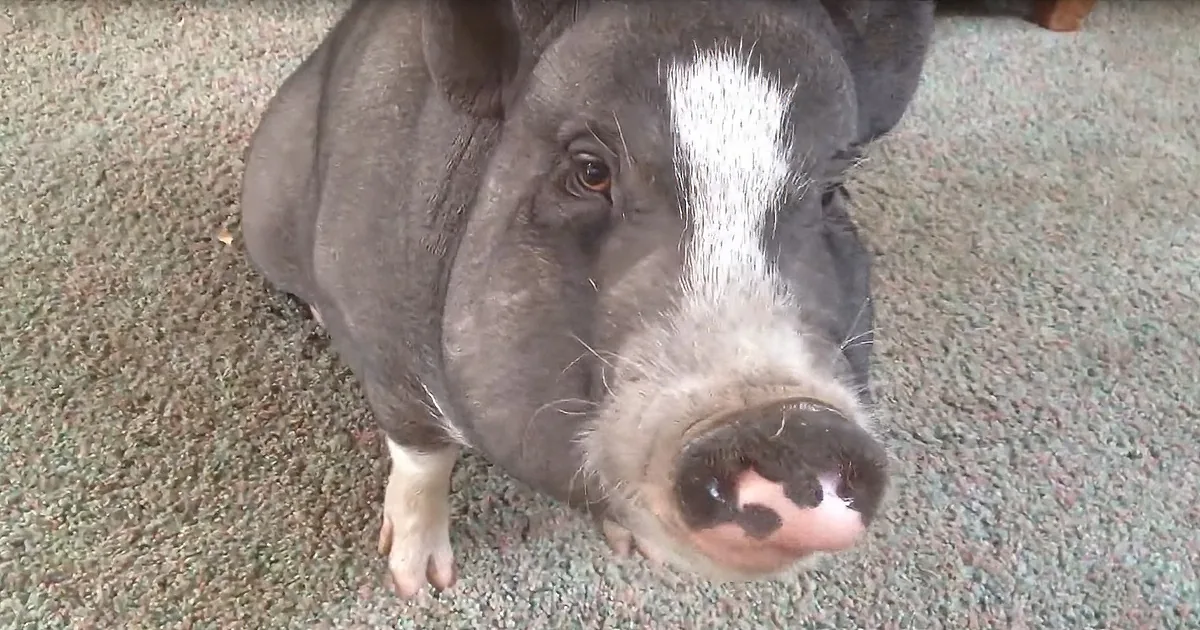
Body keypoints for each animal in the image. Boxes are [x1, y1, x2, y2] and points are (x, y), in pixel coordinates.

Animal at [239, 0, 935, 599]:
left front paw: (636, 551)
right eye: (588, 171)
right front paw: (421, 585)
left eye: (833, 191)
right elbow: (421, 463)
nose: (792, 428)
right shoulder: (388, 357)